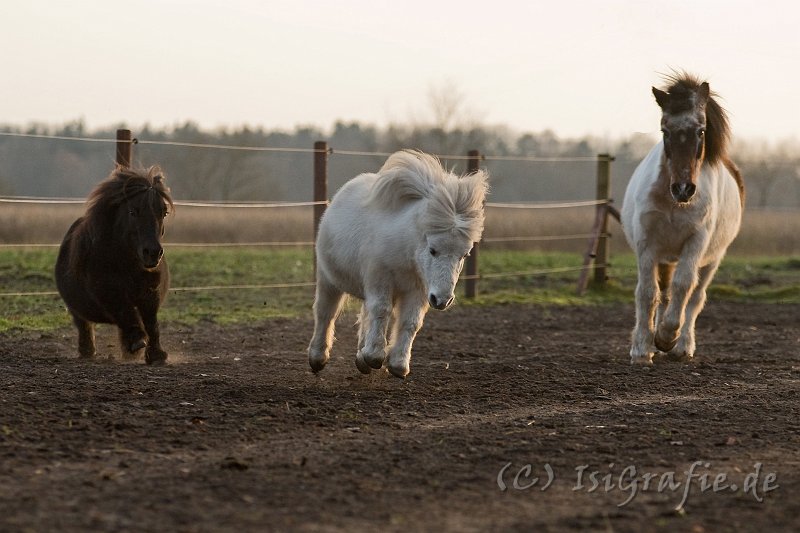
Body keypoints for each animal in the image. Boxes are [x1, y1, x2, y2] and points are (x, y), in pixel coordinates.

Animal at [56, 166, 175, 364]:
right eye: (133, 212)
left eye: (163, 212)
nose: (152, 252)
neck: (128, 264)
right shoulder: (108, 292)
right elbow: (125, 312)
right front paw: (137, 341)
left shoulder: (150, 293)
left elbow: (151, 323)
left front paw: (156, 354)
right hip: (76, 308)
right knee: (84, 326)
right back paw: (88, 351)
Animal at [310, 148, 490, 376]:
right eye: (432, 250)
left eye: (464, 255)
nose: (443, 300)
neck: (406, 253)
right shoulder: (380, 279)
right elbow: (381, 310)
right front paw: (375, 356)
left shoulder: (418, 290)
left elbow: (410, 322)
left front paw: (397, 364)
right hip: (329, 280)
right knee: (326, 312)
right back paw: (318, 358)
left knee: (365, 314)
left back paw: (361, 359)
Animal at [620, 72, 748, 364]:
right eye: (664, 130)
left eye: (701, 131)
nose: (683, 188)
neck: (672, 202)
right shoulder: (648, 244)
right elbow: (647, 293)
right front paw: (642, 349)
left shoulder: (696, 241)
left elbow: (683, 286)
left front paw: (668, 337)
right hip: (666, 257)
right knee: (663, 294)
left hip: (713, 258)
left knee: (696, 296)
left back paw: (682, 346)